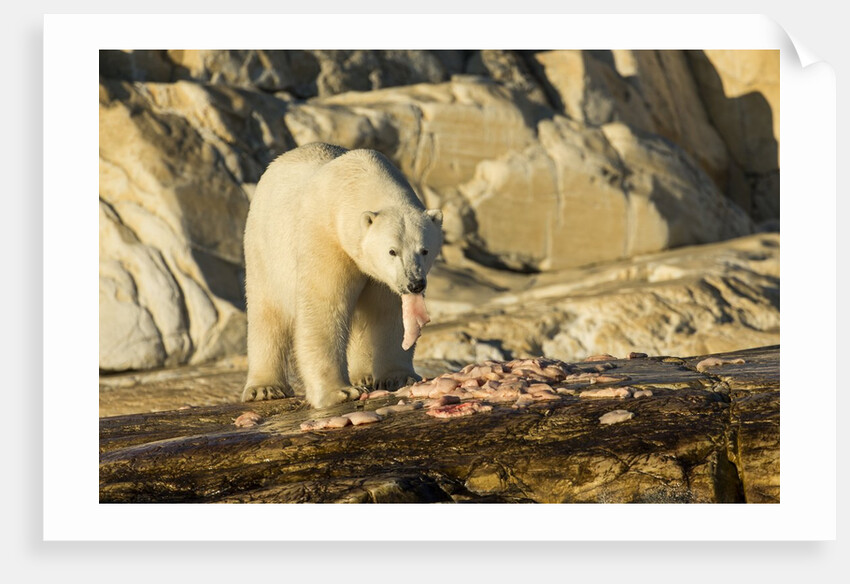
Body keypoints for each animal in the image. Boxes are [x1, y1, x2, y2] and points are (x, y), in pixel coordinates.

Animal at [241, 143, 443, 409]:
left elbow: (386, 313)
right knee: (266, 314)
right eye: (392, 251)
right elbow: (325, 306)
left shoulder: (380, 276)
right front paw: (339, 392)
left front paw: (399, 378)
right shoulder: (326, 238)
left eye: (424, 250)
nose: (414, 284)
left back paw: (364, 375)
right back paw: (264, 388)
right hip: (264, 250)